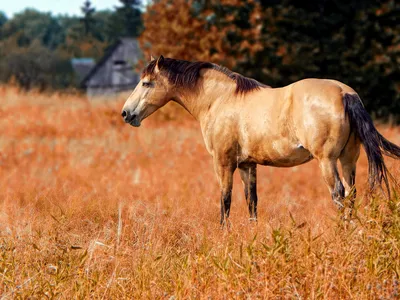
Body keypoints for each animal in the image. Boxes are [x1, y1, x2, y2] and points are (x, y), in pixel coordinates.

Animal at [121, 56, 400, 225]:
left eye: (146, 83)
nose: (126, 113)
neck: (220, 99)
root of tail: (345, 93)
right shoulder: (247, 165)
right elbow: (251, 201)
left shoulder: (223, 163)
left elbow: (225, 200)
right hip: (348, 159)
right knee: (351, 194)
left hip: (327, 161)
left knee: (339, 194)